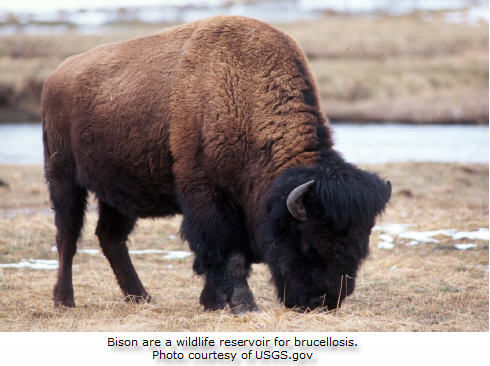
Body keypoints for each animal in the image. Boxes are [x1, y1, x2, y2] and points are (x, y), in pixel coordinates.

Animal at [42, 15, 390, 314]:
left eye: (361, 247)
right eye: (308, 244)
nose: (324, 301)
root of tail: (55, 77)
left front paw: (213, 302)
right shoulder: (208, 198)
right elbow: (228, 254)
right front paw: (244, 306)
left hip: (117, 193)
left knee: (111, 238)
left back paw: (140, 297)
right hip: (64, 178)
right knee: (67, 236)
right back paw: (64, 300)